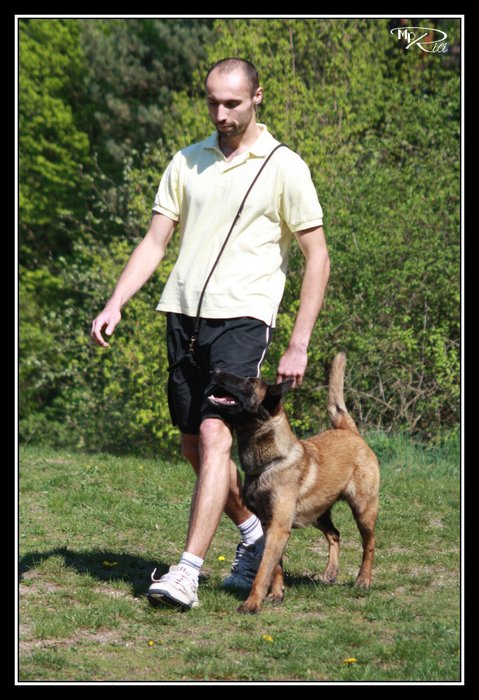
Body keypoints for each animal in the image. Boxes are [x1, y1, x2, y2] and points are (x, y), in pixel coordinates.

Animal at [207, 352, 380, 614]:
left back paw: (364, 579)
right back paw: (330, 572)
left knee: (369, 544)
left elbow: (263, 571)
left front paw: (252, 603)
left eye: (248, 383)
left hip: (363, 510)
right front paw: (277, 594)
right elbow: (276, 567)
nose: (215, 370)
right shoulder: (270, 525)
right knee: (335, 534)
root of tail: (350, 432)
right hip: (317, 514)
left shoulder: (278, 528)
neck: (272, 462)